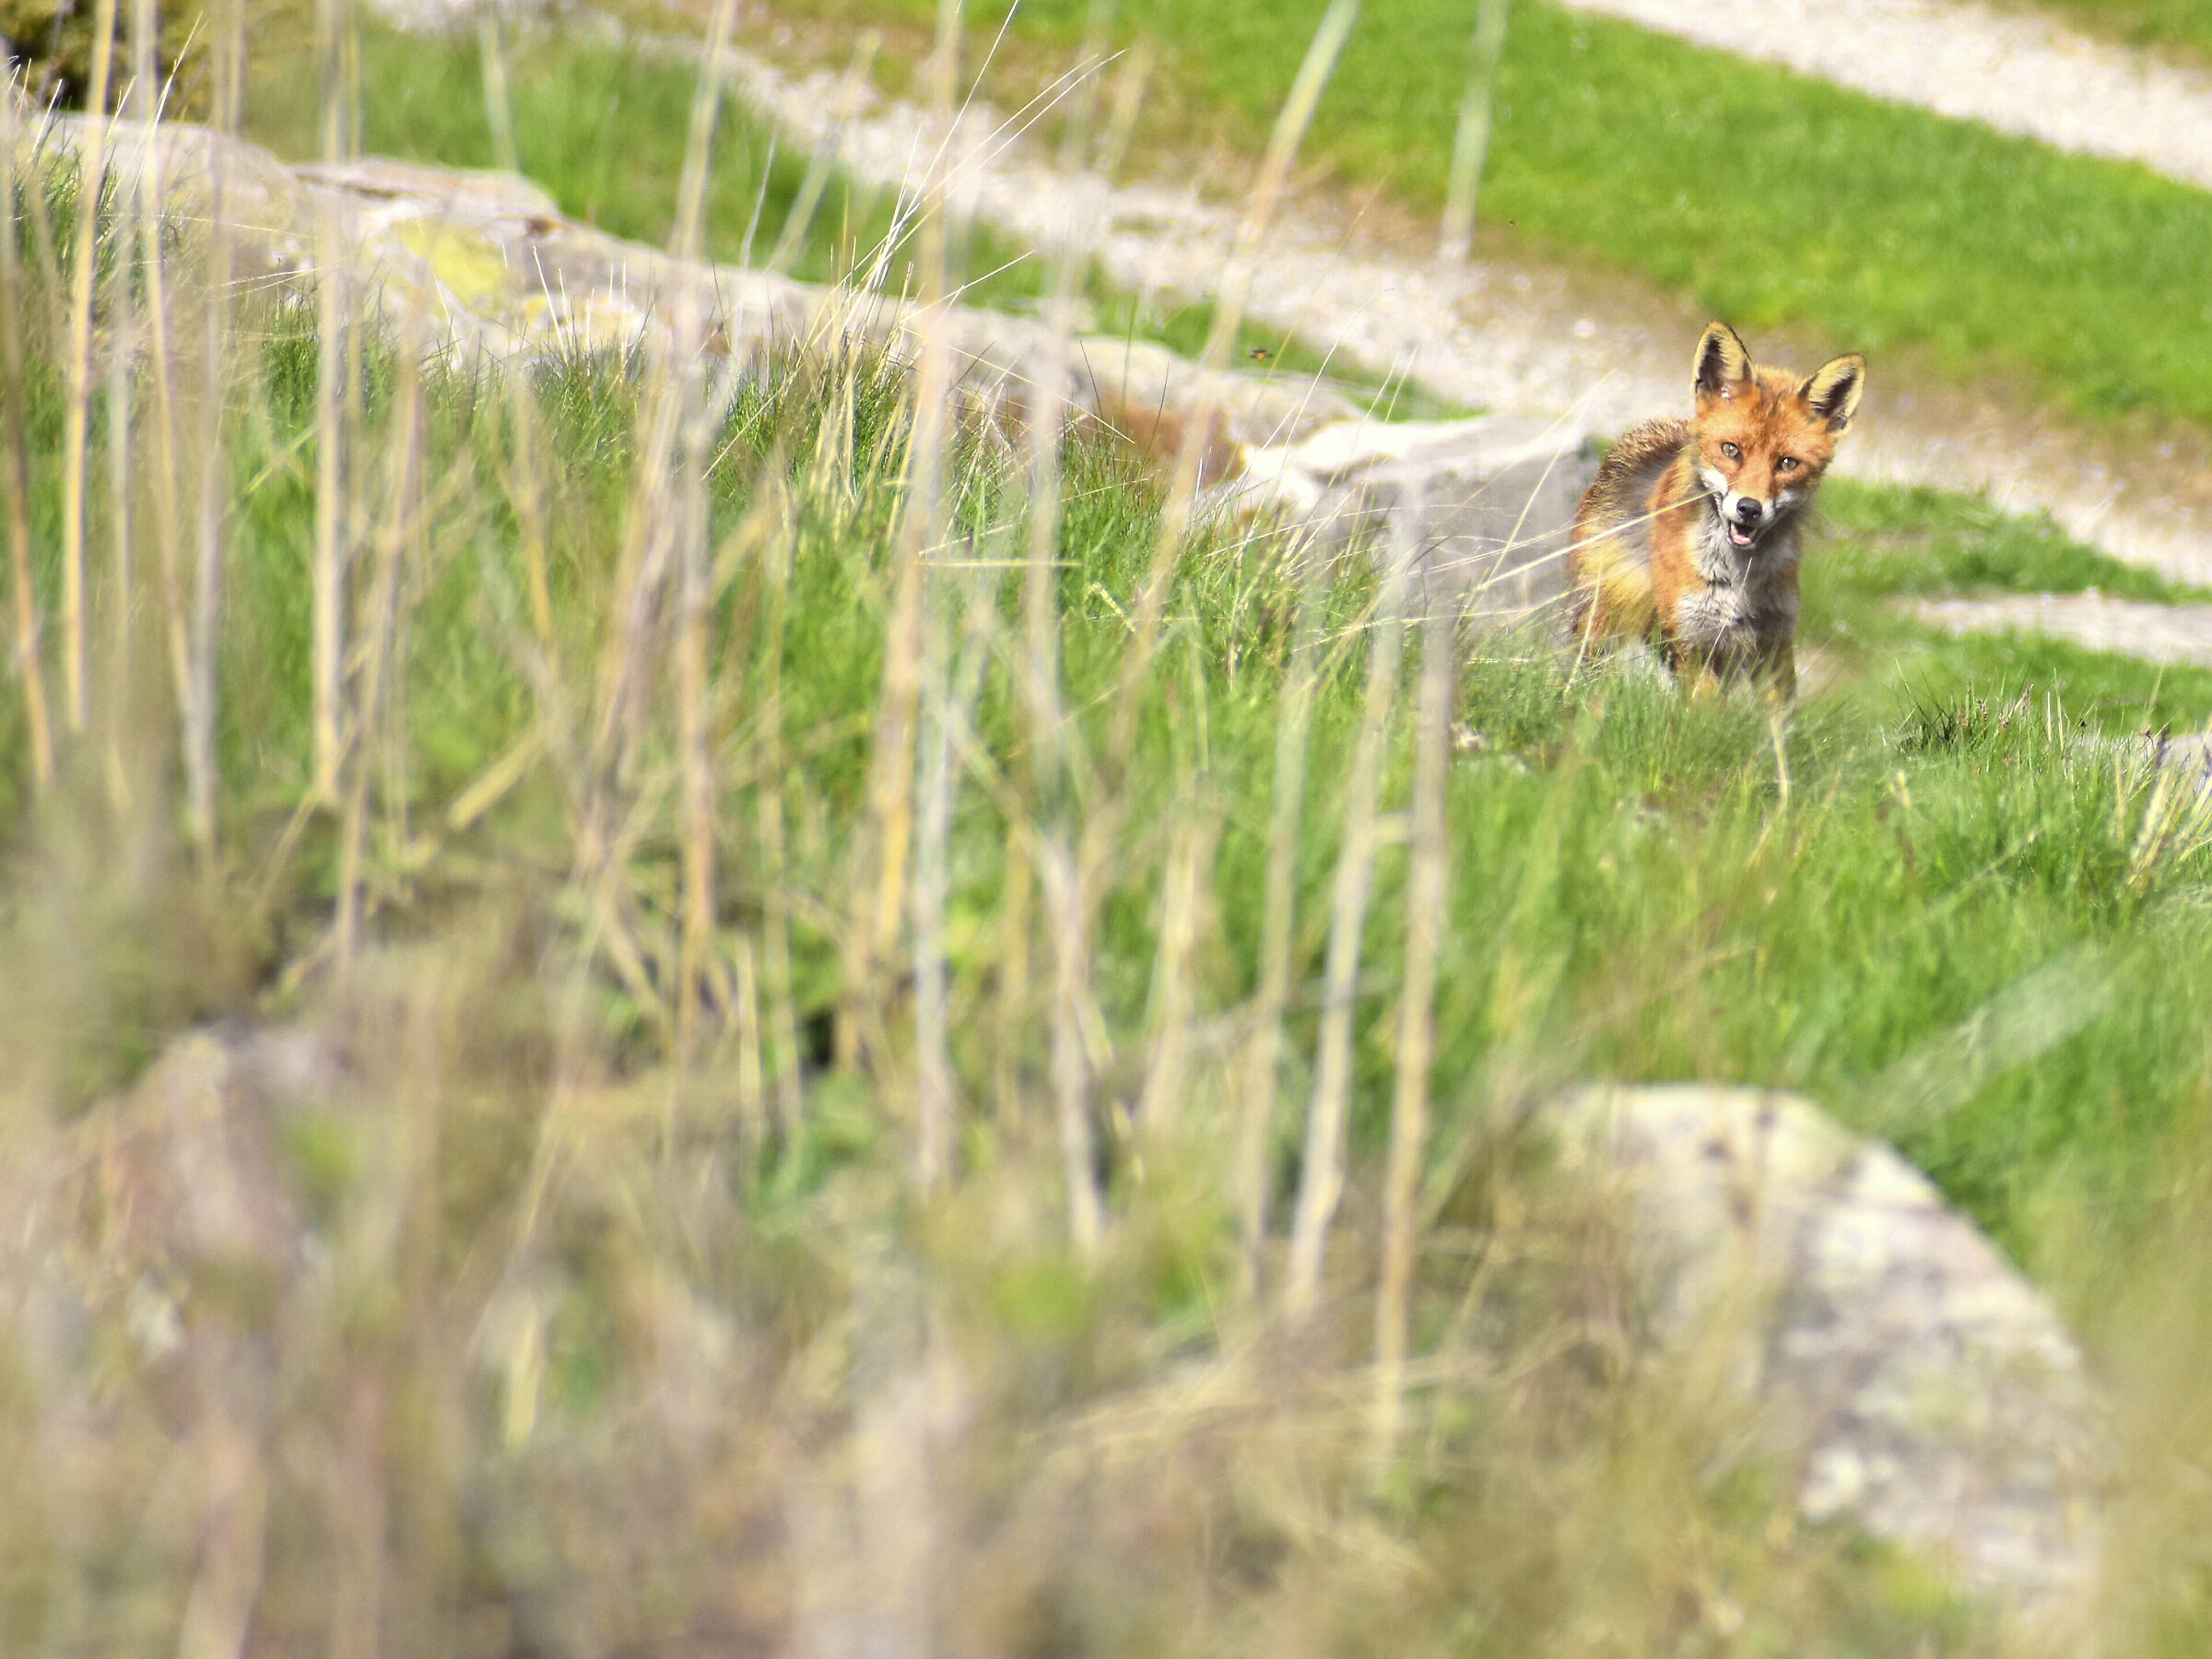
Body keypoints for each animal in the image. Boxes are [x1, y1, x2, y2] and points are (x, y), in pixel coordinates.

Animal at [1567, 322, 1866, 702]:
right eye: (1731, 450)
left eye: (1787, 463)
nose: (1749, 508)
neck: (1740, 581)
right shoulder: (1695, 642)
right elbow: (1704, 715)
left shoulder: (1774, 639)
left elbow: (1780, 717)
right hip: (1604, 625)